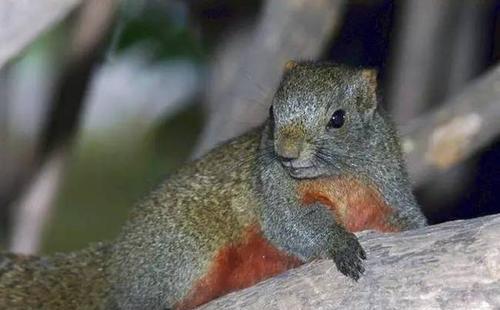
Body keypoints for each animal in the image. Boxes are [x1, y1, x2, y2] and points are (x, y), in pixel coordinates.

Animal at [0, 61, 426, 308]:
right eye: (272, 111)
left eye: (338, 118)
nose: (286, 152)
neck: (339, 176)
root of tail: (114, 268)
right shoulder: (273, 188)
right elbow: (293, 224)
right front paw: (339, 243)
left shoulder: (388, 187)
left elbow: (407, 221)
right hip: (181, 259)